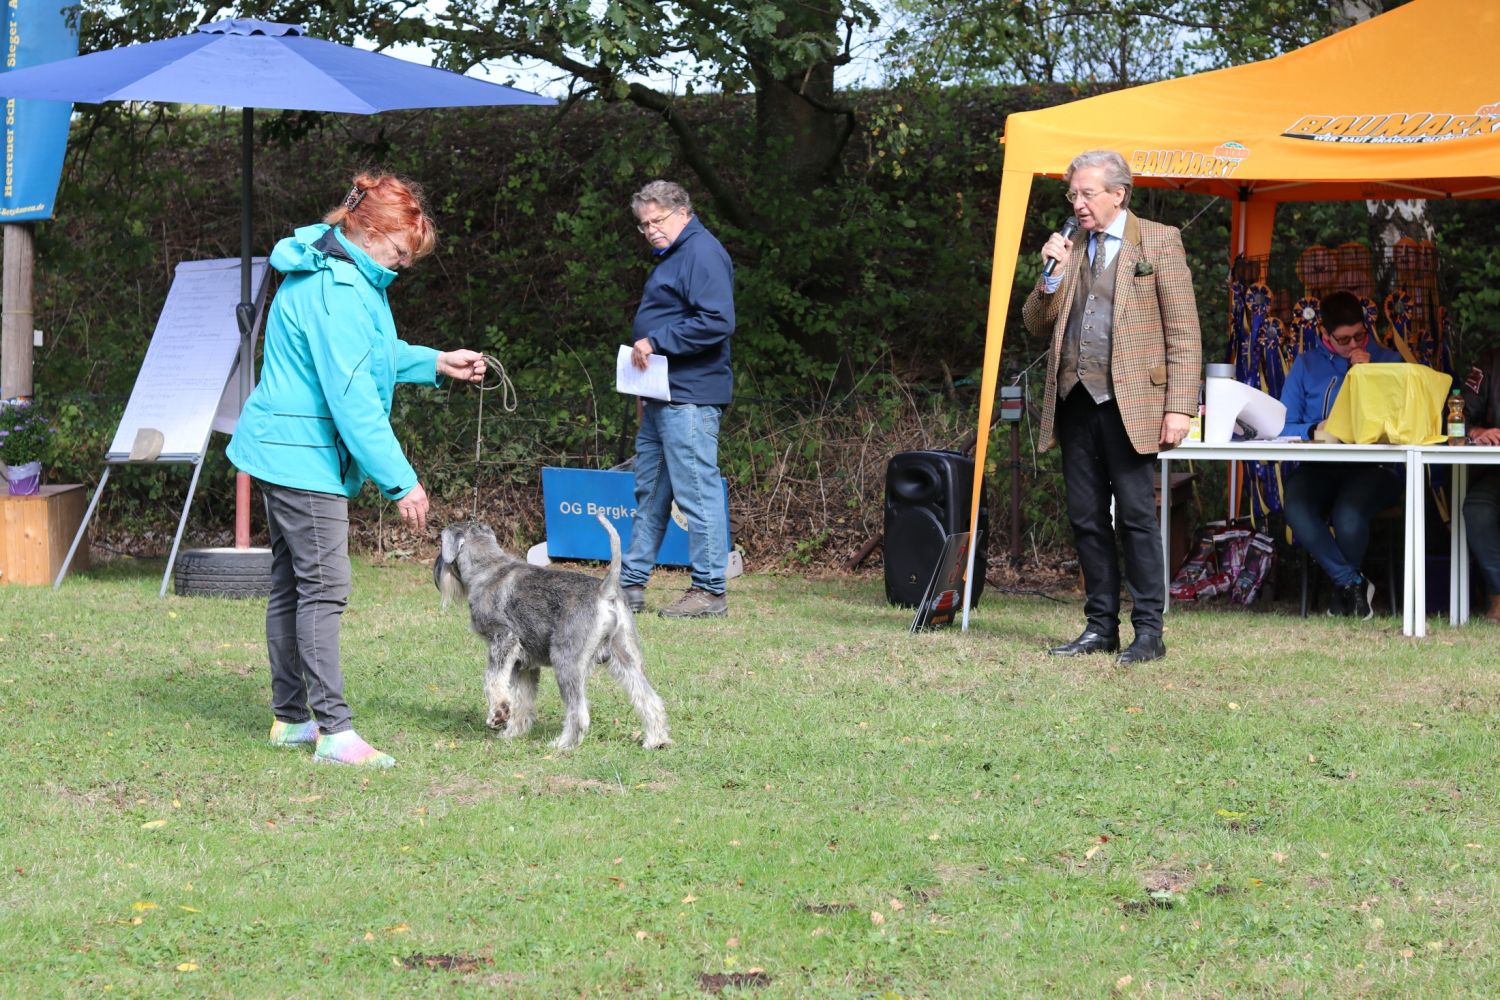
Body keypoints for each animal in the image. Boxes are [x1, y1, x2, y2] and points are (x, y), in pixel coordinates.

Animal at [433, 514, 671, 750]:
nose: (436, 571)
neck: (487, 570)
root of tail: (605, 591)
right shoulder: (524, 664)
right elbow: (522, 699)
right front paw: (512, 733)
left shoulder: (502, 641)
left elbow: (494, 680)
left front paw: (499, 714)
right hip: (625, 655)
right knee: (648, 697)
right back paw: (656, 740)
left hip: (566, 659)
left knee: (579, 711)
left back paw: (563, 744)